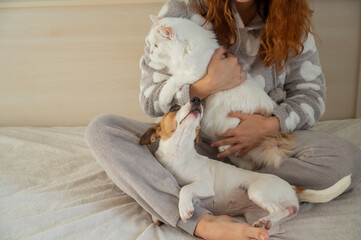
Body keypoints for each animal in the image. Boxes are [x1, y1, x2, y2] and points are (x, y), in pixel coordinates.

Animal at [139, 97, 350, 232]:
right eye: (174, 107)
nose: (197, 99)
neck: (180, 154)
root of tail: (291, 187)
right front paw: (158, 216)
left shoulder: (204, 185)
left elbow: (185, 189)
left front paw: (184, 209)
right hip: (257, 213)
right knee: (278, 220)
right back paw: (265, 224)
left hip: (257, 192)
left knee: (279, 210)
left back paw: (264, 222)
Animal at [146, 15, 292, 170]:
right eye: (150, 44)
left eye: (156, 46)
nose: (150, 53)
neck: (187, 50)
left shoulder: (195, 74)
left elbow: (173, 81)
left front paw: (164, 98)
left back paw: (224, 148)